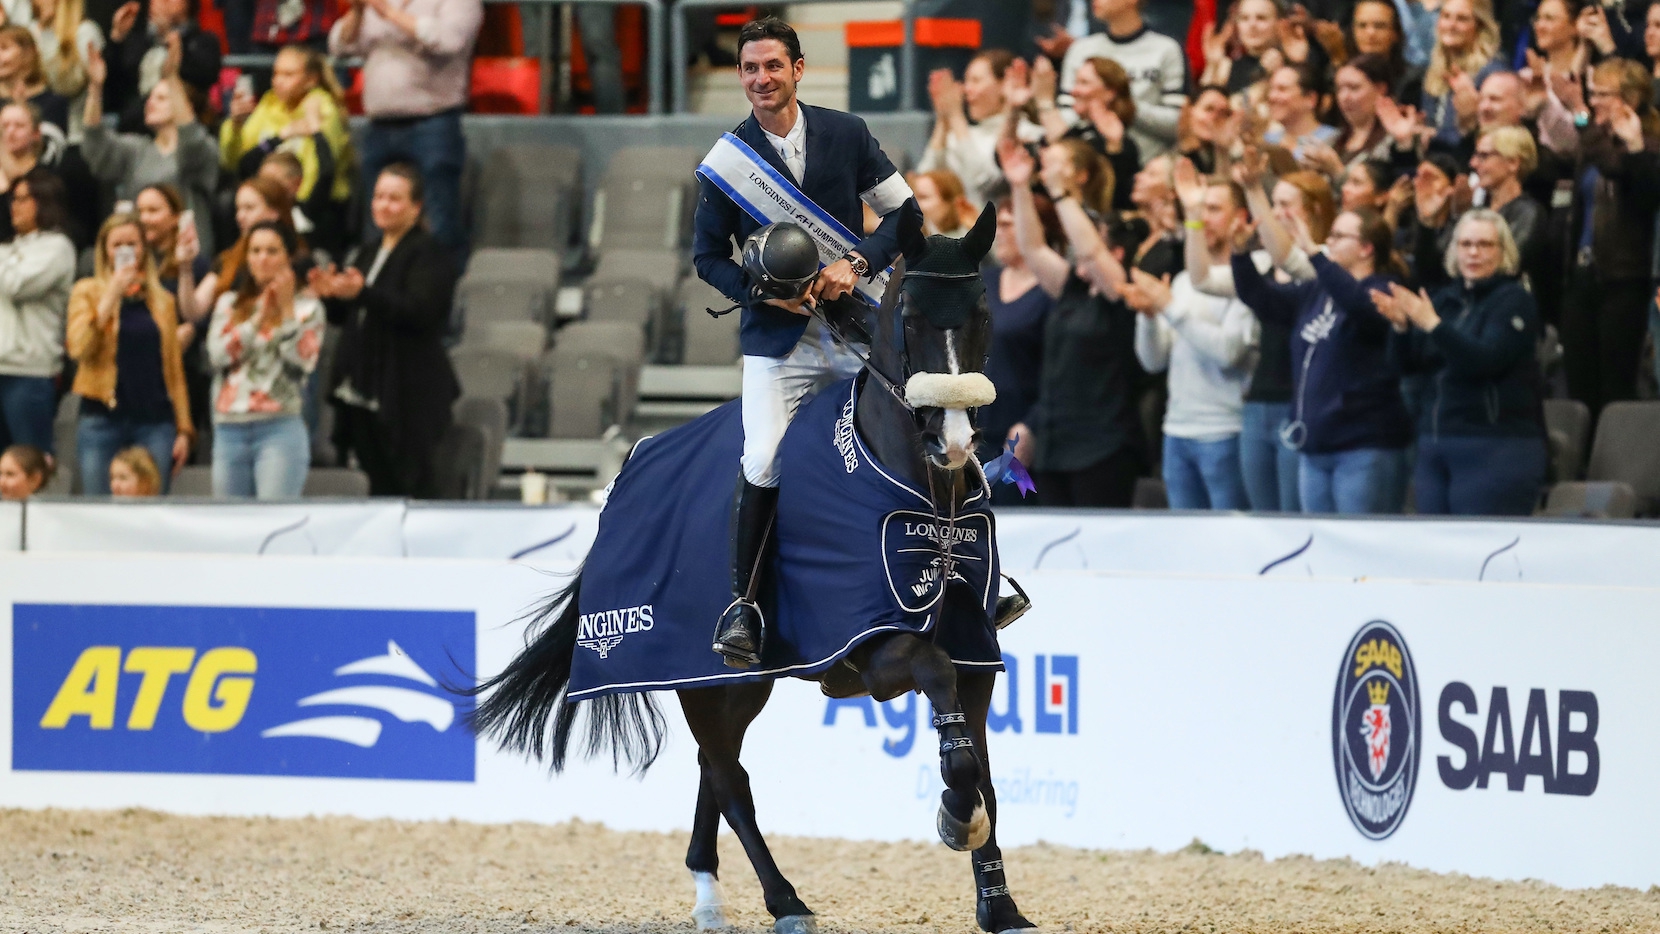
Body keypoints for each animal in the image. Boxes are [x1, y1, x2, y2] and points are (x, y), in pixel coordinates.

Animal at [471, 208, 1035, 934]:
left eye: (983, 314)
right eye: (909, 317)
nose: (955, 441)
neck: (921, 496)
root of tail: (631, 469)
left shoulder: (975, 650)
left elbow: (981, 766)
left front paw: (1001, 906)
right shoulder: (877, 645)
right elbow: (950, 725)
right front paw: (956, 819)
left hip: (732, 685)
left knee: (715, 771)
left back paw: (710, 897)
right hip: (704, 674)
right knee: (729, 780)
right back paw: (784, 901)